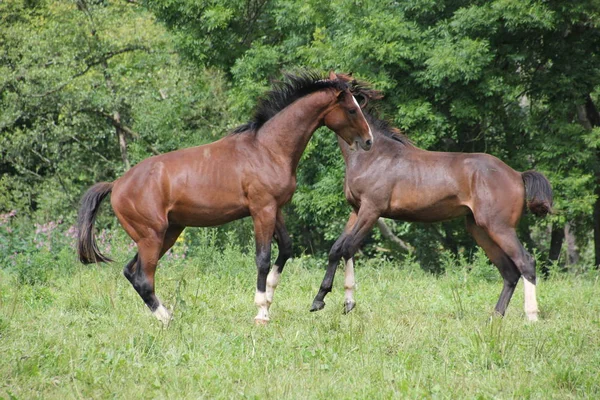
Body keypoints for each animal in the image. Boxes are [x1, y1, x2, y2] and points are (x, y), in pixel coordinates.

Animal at [77, 70, 372, 324]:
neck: (268, 149)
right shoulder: (261, 210)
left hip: (167, 233)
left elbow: (286, 249)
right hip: (152, 236)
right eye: (351, 109)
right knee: (143, 279)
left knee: (131, 271)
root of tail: (116, 184)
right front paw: (261, 312)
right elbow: (263, 258)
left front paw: (270, 299)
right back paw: (168, 320)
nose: (368, 141)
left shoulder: (274, 209)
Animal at [310, 110, 552, 322]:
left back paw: (531, 317)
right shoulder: (356, 210)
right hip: (480, 230)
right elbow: (336, 249)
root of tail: (517, 174)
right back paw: (494, 318)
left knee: (526, 262)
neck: (373, 155)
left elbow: (347, 248)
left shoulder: (371, 210)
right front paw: (319, 300)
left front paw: (347, 302)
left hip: (499, 227)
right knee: (509, 272)